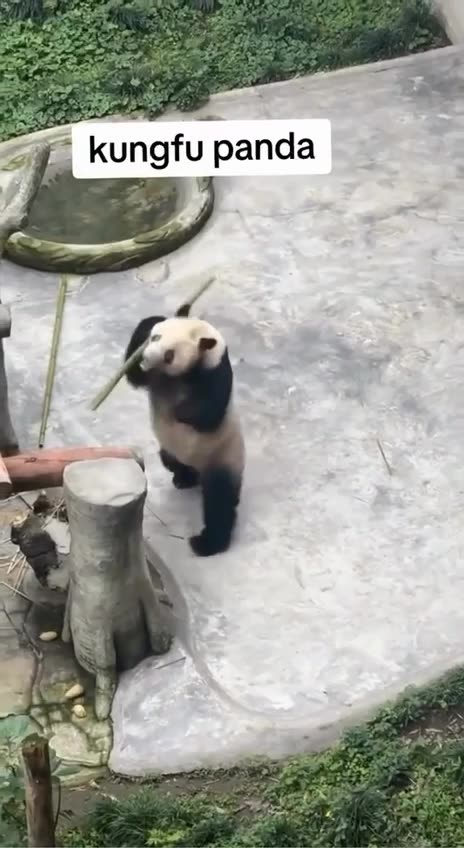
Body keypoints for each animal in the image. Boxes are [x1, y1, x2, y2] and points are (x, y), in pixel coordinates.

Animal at [124, 310, 245, 557]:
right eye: (155, 338)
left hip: (223, 455)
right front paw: (149, 323)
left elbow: (208, 413)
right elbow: (134, 374)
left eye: (169, 355)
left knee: (220, 501)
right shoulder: (149, 375)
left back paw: (207, 543)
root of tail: (200, 468)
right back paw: (184, 477)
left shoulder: (215, 372)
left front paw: (178, 410)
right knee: (169, 459)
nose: (147, 358)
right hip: (173, 450)